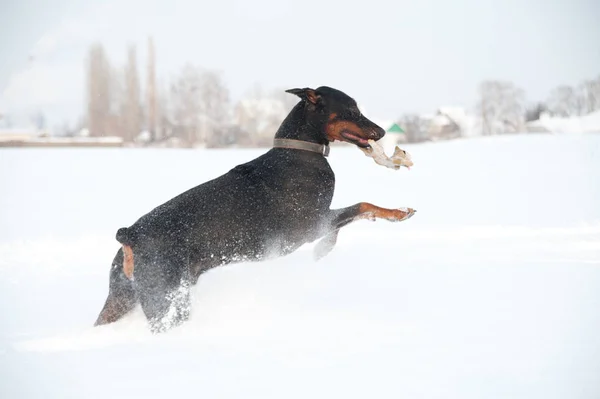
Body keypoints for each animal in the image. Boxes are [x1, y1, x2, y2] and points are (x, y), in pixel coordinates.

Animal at [95, 87, 418, 334]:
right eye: (351, 109)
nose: (381, 131)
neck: (299, 153)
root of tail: (130, 234)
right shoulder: (308, 226)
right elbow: (362, 207)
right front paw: (399, 212)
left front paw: (324, 249)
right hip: (166, 295)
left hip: (121, 297)